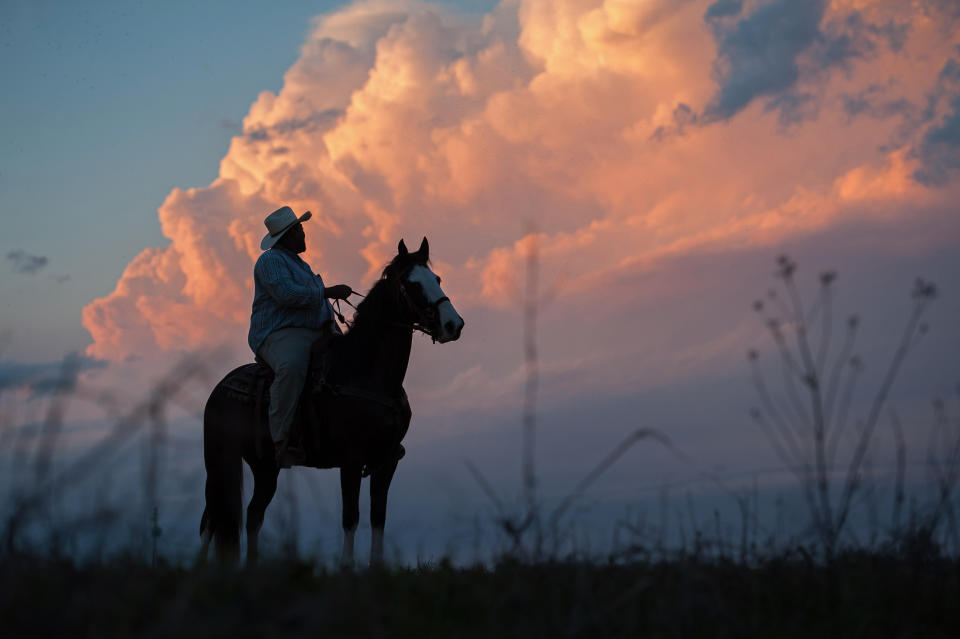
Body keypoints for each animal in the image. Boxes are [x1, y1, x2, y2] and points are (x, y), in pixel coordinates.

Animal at [198, 239, 462, 564]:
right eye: (412, 284)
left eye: (436, 279)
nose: (453, 324)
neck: (364, 372)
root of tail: (220, 389)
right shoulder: (351, 460)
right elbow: (351, 517)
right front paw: (346, 567)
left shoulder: (386, 461)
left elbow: (378, 517)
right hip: (220, 459)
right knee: (212, 518)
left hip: (265, 467)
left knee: (252, 515)